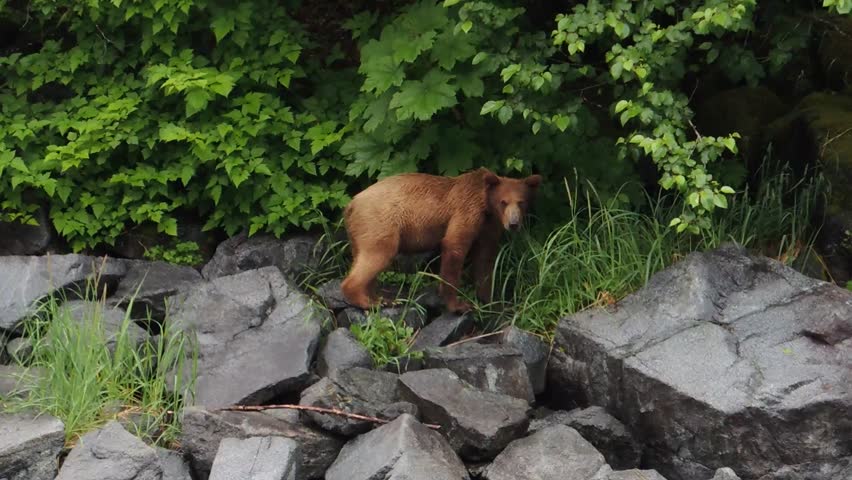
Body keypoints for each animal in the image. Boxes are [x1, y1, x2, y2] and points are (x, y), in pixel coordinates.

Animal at [341, 167, 542, 313]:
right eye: (503, 201)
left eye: (522, 202)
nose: (513, 223)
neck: (486, 205)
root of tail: (352, 203)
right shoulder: (467, 210)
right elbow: (455, 246)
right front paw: (459, 305)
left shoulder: (489, 226)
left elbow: (485, 260)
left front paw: (493, 301)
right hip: (380, 223)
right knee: (377, 255)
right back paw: (366, 301)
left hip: (359, 232)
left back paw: (379, 298)